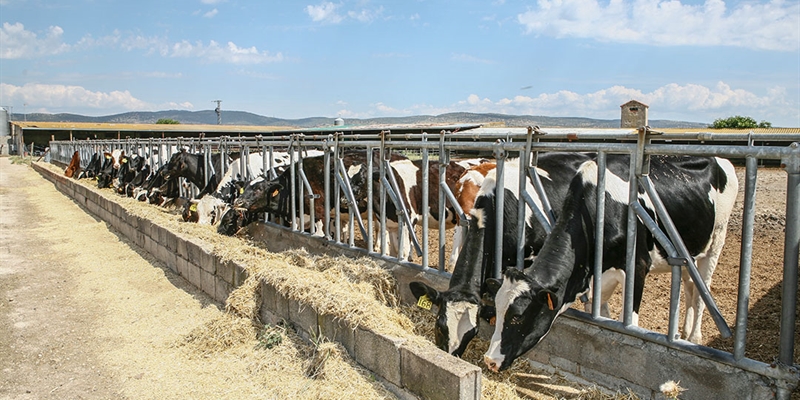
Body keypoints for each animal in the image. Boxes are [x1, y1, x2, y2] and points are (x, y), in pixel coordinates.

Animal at [482, 154, 736, 372]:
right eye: (498, 309)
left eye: (517, 316)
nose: (490, 361)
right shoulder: (597, 280)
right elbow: (601, 314)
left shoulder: (637, 268)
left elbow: (629, 321)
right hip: (690, 253)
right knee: (690, 287)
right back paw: (683, 333)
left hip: (716, 241)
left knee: (703, 289)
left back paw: (694, 338)